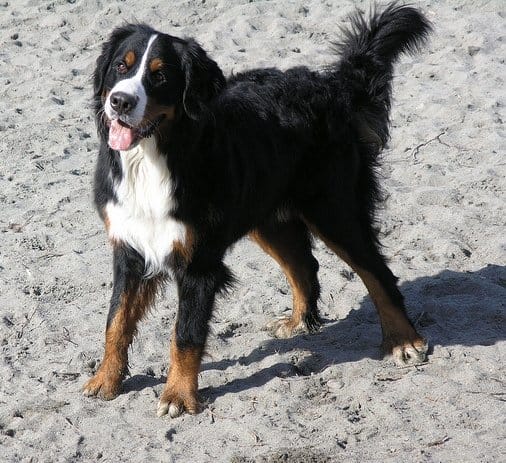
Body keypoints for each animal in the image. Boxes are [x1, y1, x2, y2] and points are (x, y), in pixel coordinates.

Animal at [83, 2, 430, 416]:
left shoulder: (199, 264)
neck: (153, 160)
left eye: (160, 76)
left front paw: (178, 396)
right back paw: (298, 322)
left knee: (378, 273)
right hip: (267, 218)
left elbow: (185, 334)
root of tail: (329, 86)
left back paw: (403, 340)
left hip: (335, 210)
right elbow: (116, 321)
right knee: (304, 266)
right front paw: (106, 380)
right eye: (121, 67)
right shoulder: (130, 247)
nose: (119, 101)